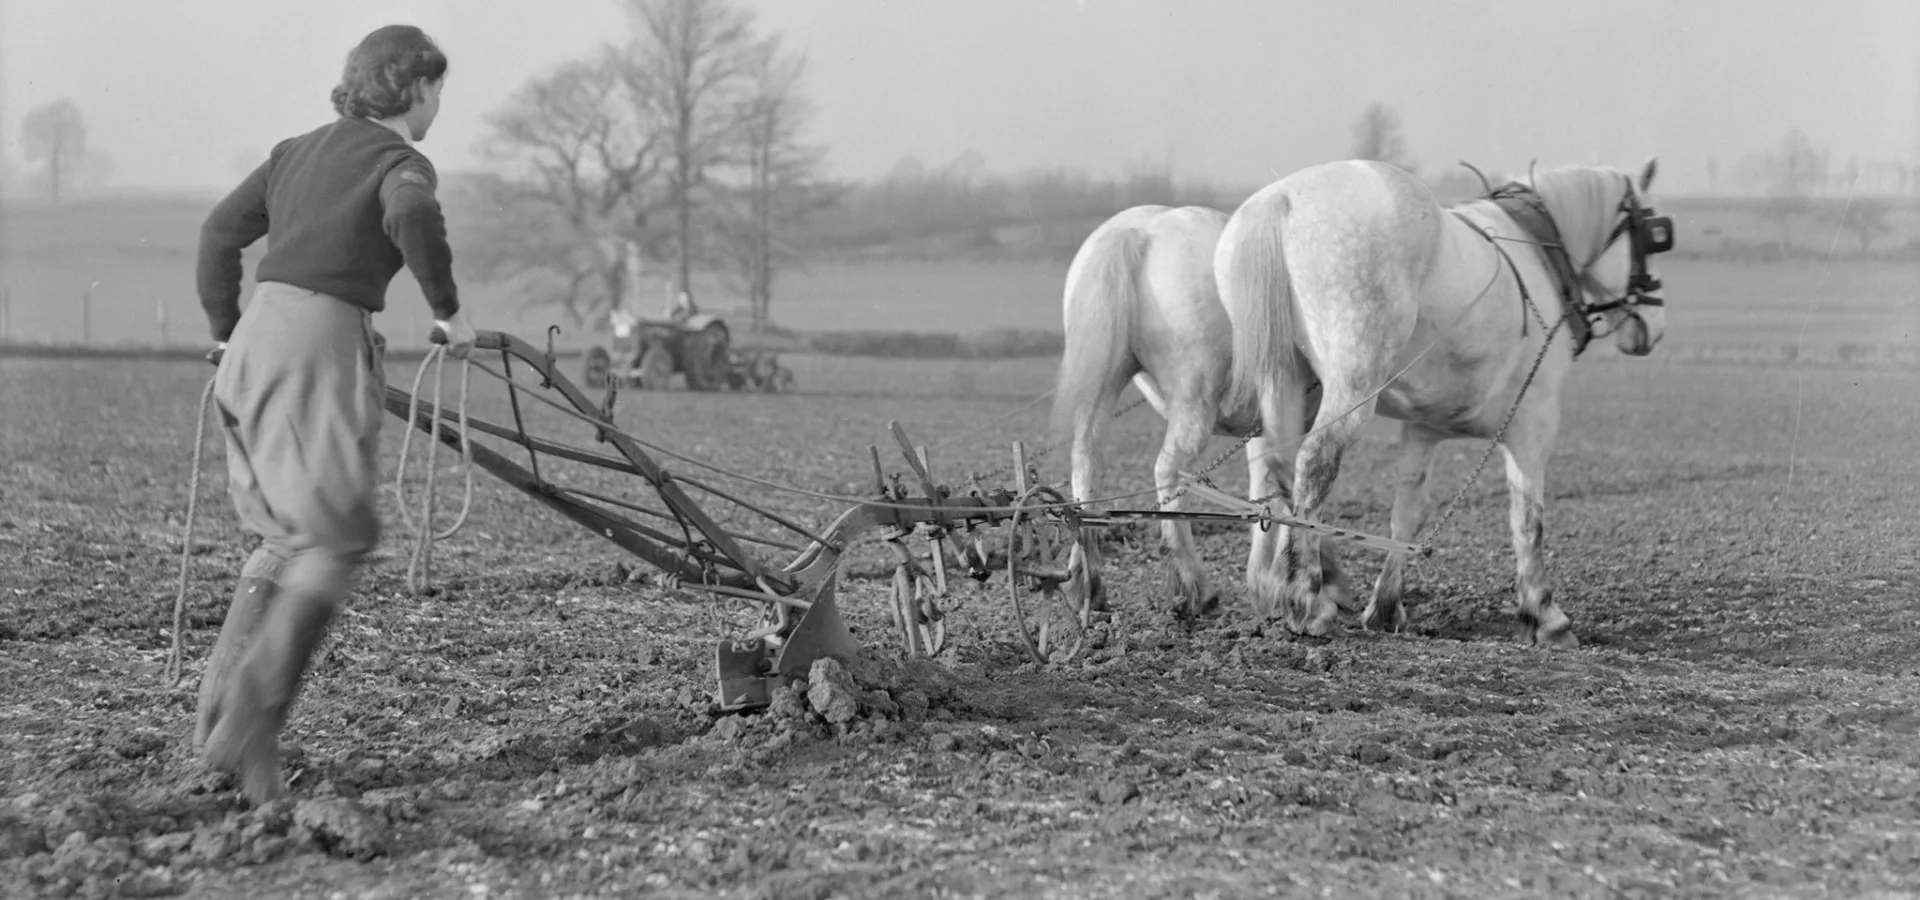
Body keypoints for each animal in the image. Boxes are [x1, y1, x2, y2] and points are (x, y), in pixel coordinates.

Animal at [1051, 205, 1345, 619]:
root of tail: (1140, 232)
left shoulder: (1265, 425)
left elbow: (1267, 487)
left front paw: (1265, 585)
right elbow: (1292, 486)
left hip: (1103, 384)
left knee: (1086, 463)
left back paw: (1086, 585)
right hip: (1194, 399)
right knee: (1168, 470)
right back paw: (1193, 587)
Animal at [1217, 158, 1671, 645]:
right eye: (1655, 233)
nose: (1652, 327)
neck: (1538, 251)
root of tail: (1281, 199)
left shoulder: (1423, 430)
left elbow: (1407, 514)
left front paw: (1386, 607)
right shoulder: (1534, 423)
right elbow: (1528, 519)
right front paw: (1545, 615)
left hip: (1282, 382)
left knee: (1273, 469)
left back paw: (1276, 584)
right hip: (1351, 387)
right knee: (1313, 465)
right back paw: (1306, 597)